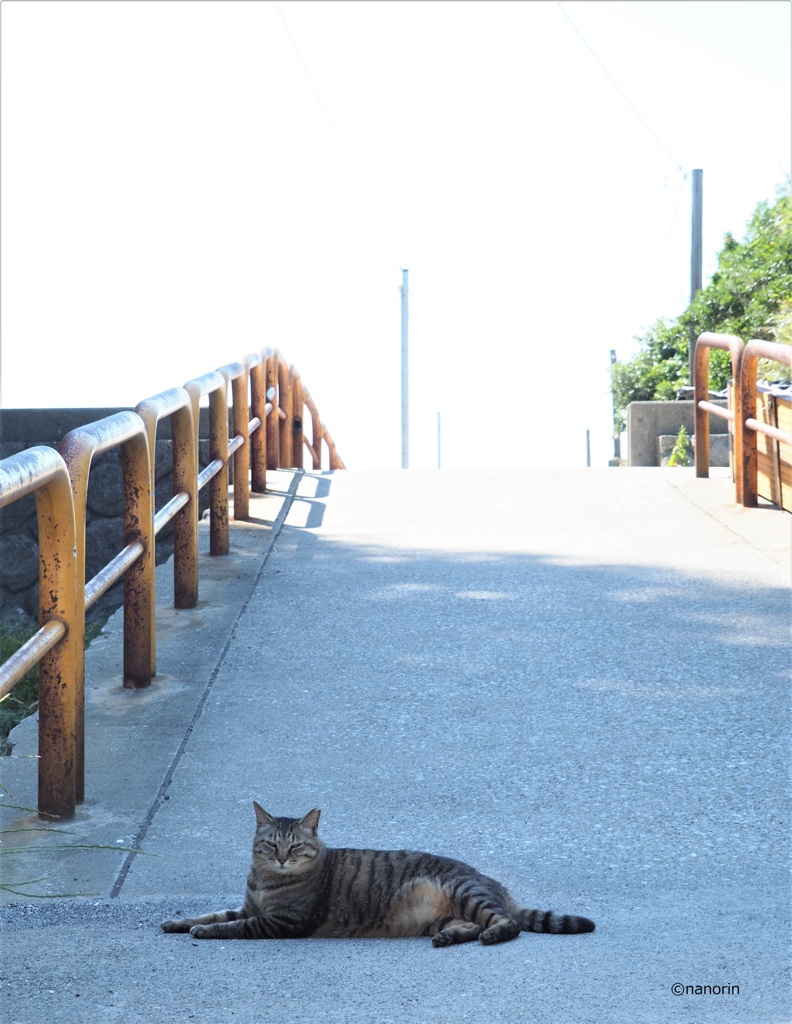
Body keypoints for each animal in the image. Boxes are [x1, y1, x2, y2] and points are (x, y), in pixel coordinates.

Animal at [160, 806, 594, 942]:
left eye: (295, 847)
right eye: (270, 846)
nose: (282, 859)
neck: (267, 881)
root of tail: (493, 882)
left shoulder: (281, 921)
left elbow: (230, 926)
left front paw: (203, 932)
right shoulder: (250, 907)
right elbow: (212, 913)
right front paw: (177, 922)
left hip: (466, 892)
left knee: (508, 924)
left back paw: (492, 933)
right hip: (448, 913)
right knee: (469, 925)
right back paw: (450, 938)